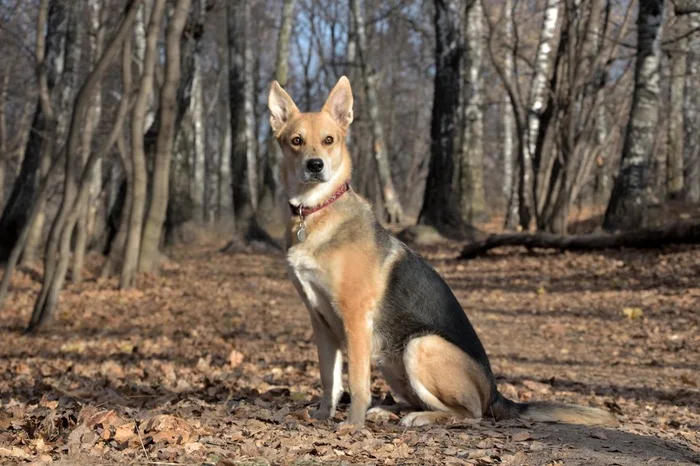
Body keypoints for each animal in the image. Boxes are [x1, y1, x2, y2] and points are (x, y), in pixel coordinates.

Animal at [268, 75, 616, 426]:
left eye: (329, 140)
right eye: (296, 141)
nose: (315, 165)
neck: (315, 211)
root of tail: (494, 393)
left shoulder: (355, 317)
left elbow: (356, 383)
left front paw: (352, 425)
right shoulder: (320, 322)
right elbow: (330, 379)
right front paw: (323, 415)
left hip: (420, 344)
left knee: (470, 413)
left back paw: (421, 418)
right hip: (389, 359)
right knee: (416, 400)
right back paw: (392, 411)